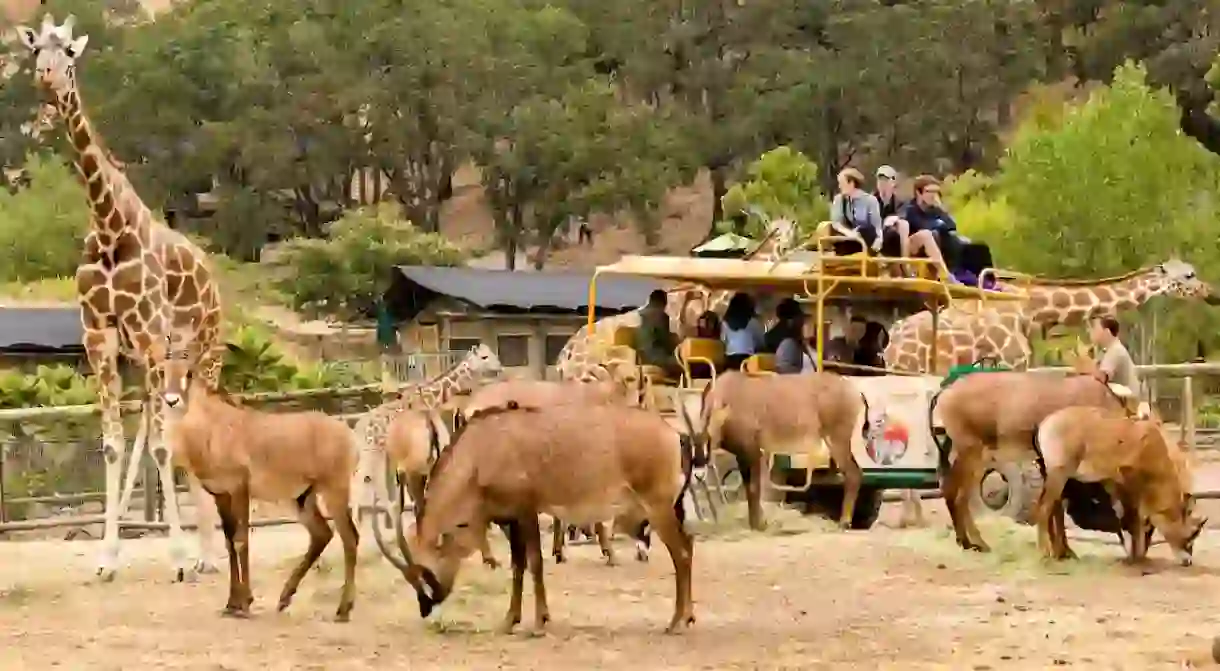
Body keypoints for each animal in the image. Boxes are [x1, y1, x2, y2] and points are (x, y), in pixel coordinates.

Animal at [16, 15, 226, 583]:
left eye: (68, 52)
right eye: (35, 52)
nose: (47, 79)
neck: (111, 229)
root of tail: (214, 277)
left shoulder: (151, 334)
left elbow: (162, 445)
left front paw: (179, 557)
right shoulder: (100, 336)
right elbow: (113, 445)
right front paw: (107, 557)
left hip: (203, 352)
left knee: (189, 429)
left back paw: (208, 554)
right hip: (158, 364)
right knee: (155, 430)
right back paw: (199, 550)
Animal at [159, 339, 356, 624]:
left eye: (189, 372)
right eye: (162, 371)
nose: (172, 400)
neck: (213, 427)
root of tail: (348, 434)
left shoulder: (240, 488)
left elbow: (241, 540)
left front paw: (244, 603)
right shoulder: (220, 494)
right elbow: (229, 542)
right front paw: (231, 604)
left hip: (335, 491)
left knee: (349, 538)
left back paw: (343, 609)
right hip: (302, 498)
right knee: (322, 534)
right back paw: (284, 598)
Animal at [353, 344, 505, 524]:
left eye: (491, 353)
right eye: (484, 357)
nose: (500, 367)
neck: (430, 398)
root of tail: (357, 427)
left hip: (372, 453)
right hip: (373, 451)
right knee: (366, 482)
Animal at [378, 395, 707, 634]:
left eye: (423, 573)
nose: (425, 607)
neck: (483, 448)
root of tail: (674, 435)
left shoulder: (526, 509)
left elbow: (534, 562)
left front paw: (538, 623)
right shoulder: (510, 516)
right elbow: (517, 565)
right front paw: (510, 620)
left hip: (657, 506)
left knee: (681, 553)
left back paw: (676, 622)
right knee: (688, 545)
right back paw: (688, 616)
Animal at [883, 259, 1215, 529]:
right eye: (1189, 274)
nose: (1210, 292)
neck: (1030, 308)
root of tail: (892, 339)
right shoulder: (1011, 364)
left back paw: (912, 514)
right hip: (907, 371)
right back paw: (910, 516)